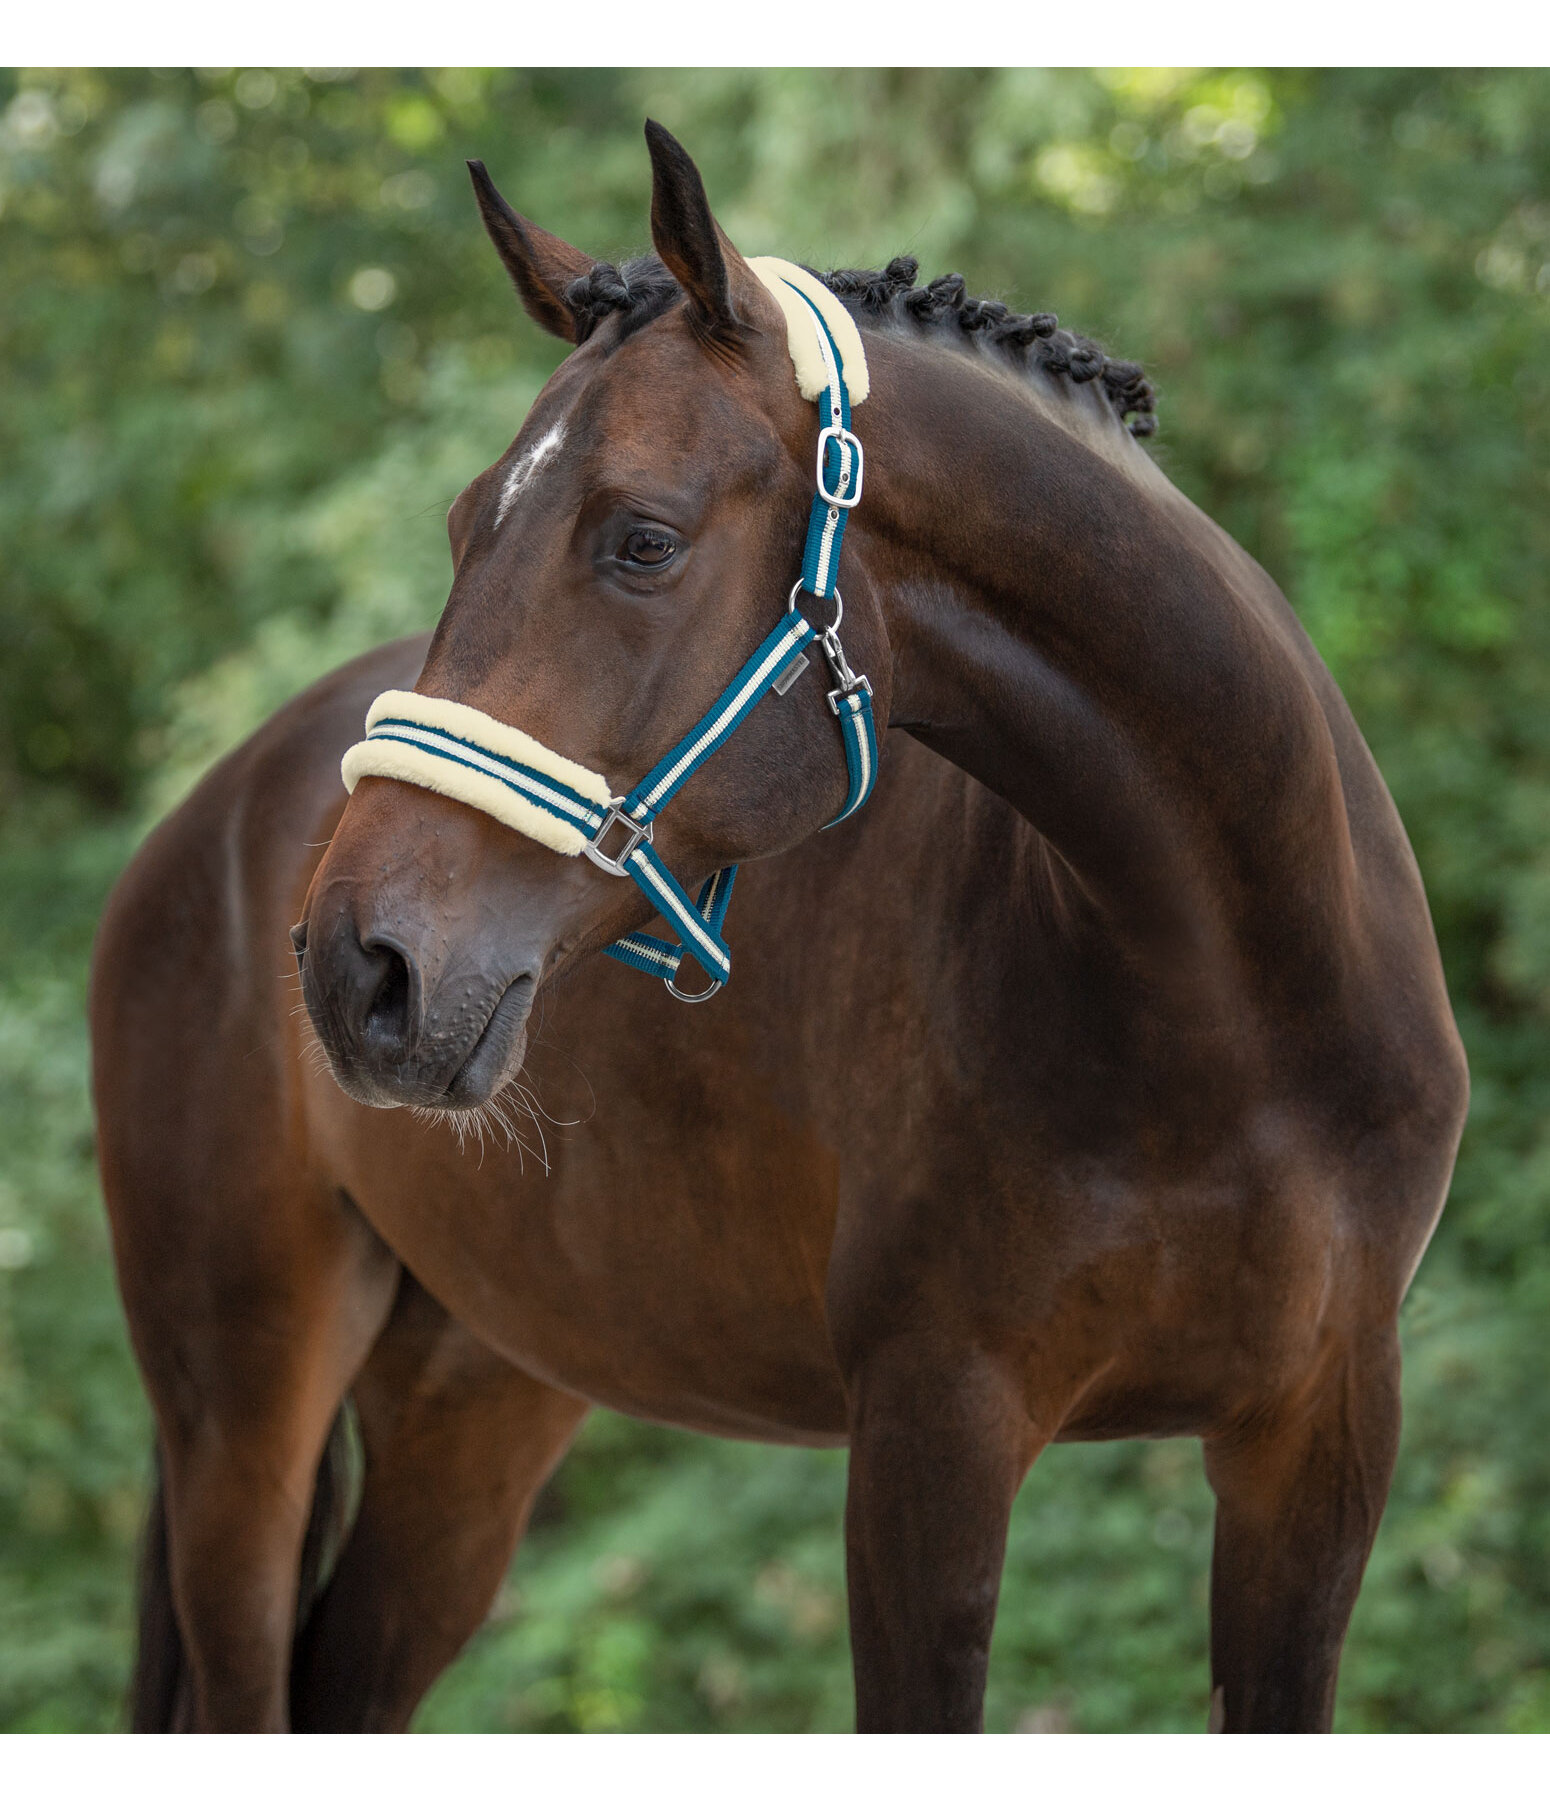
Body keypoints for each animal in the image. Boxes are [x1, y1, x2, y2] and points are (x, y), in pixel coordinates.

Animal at [90, 123, 1468, 1728]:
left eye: (641, 540)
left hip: (473, 1397)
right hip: (239, 1418)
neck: (1224, 998)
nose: (356, 967)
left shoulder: (1318, 1446)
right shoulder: (931, 1429)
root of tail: (218, 807)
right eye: (460, 525)